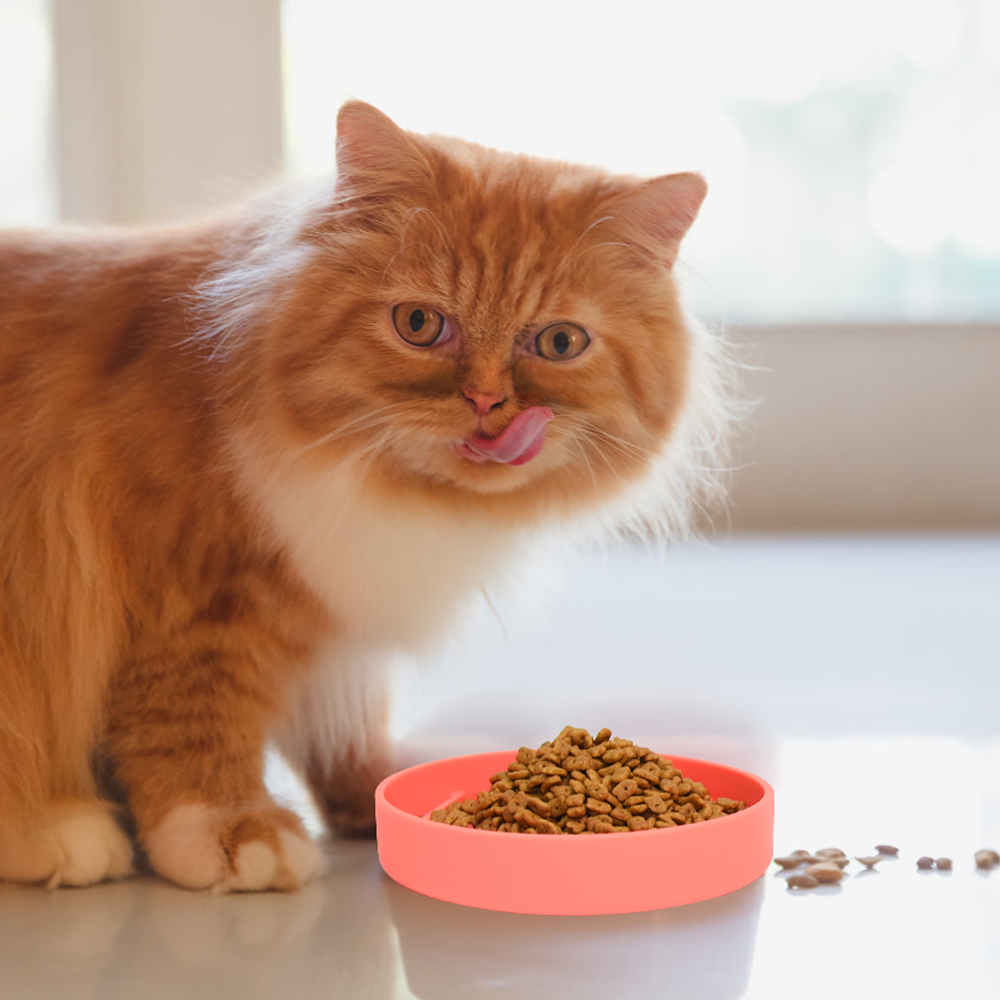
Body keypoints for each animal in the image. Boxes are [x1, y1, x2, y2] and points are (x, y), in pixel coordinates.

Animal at [0, 103, 736, 892]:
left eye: (561, 342)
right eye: (419, 325)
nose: (486, 401)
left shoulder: (331, 622)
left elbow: (347, 735)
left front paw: (382, 793)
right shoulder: (192, 601)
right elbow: (192, 723)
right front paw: (234, 830)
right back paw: (58, 828)